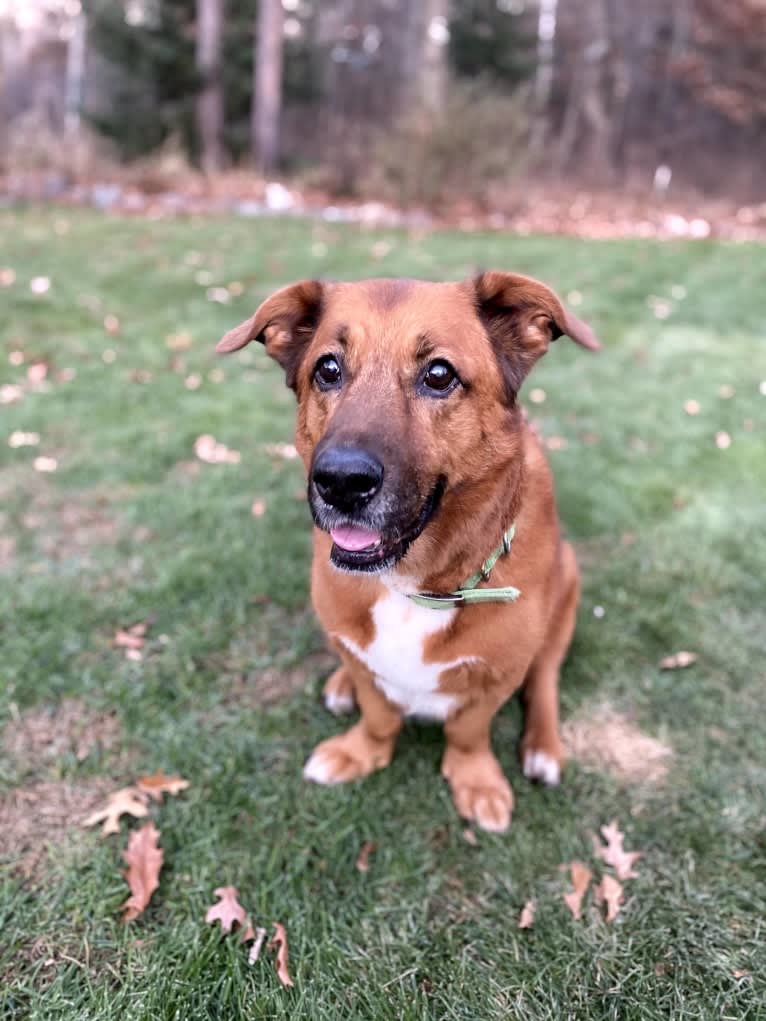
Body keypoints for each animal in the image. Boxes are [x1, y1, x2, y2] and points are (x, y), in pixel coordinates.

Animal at [217, 271, 600, 829]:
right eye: (327, 369)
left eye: (439, 375)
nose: (340, 482)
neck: (413, 585)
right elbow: (379, 715)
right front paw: (361, 751)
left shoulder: (497, 676)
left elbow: (468, 732)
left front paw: (475, 779)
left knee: (545, 678)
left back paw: (543, 747)